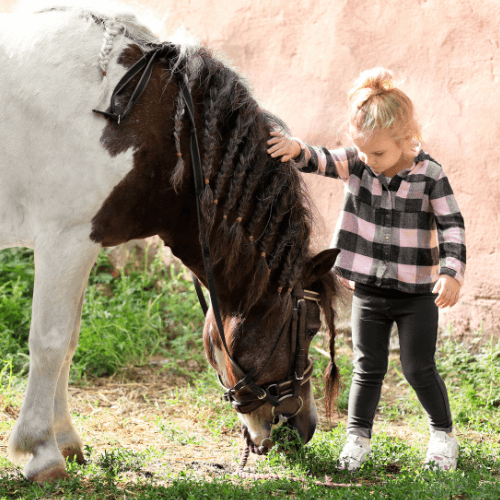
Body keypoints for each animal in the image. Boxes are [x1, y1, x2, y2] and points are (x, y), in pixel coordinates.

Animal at [0, 0, 340, 484]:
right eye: (309, 328)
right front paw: (41, 450)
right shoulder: (65, 240)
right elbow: (50, 343)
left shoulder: (83, 247)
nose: (305, 427)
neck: (165, 129)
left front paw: (64, 439)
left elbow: (68, 344)